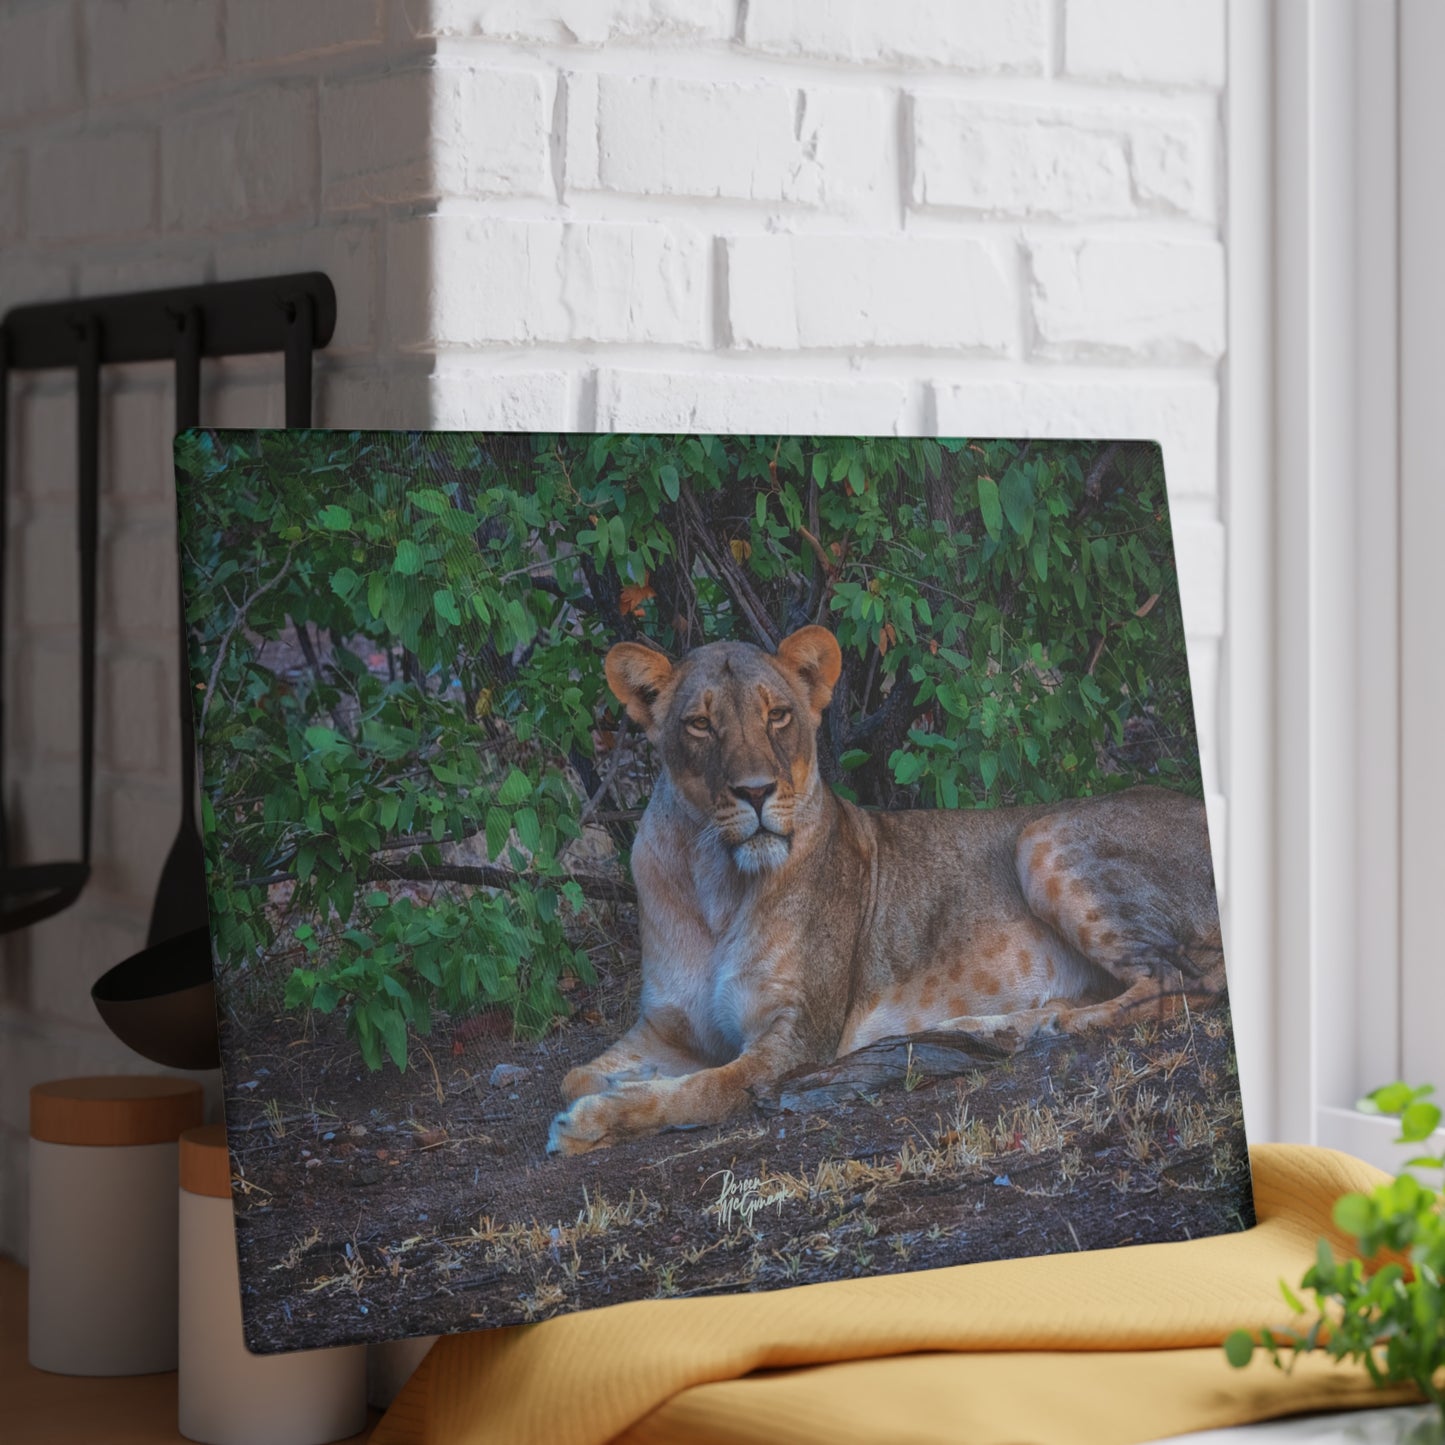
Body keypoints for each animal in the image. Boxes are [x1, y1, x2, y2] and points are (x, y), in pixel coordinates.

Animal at [547, 625, 1223, 1156]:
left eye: (777, 715)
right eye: (699, 724)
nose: (756, 792)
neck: (716, 879)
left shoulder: (794, 1041)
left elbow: (702, 1089)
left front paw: (594, 1122)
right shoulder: (666, 1028)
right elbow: (575, 1075)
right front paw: (605, 1090)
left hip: (1041, 833)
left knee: (1178, 982)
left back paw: (1044, 1026)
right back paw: (997, 1027)